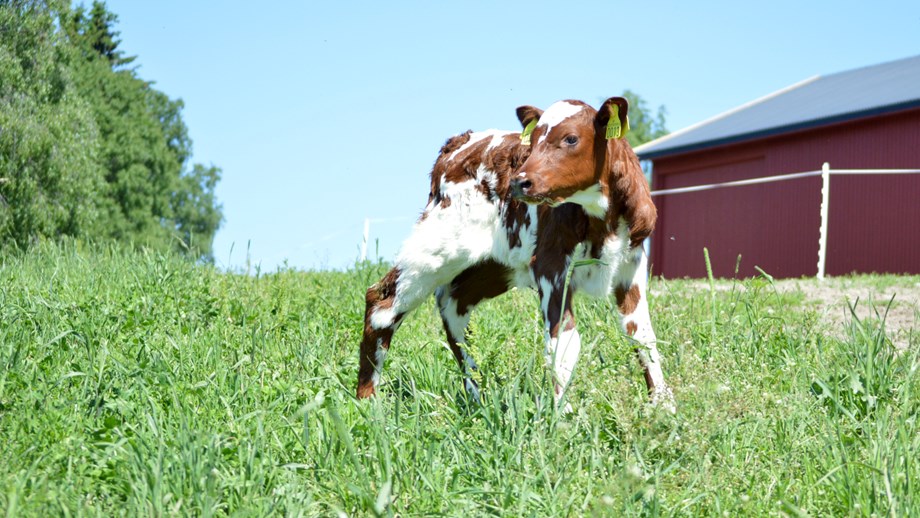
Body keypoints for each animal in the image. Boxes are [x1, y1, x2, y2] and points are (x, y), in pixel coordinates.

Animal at [356, 97, 672, 410]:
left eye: (571, 138)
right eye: (532, 140)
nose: (519, 182)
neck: (602, 221)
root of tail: (461, 141)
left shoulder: (631, 263)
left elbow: (641, 334)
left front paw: (663, 405)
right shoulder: (550, 264)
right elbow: (564, 342)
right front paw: (562, 414)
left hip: (494, 263)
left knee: (453, 305)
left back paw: (476, 398)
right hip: (437, 245)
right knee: (383, 302)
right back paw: (367, 400)